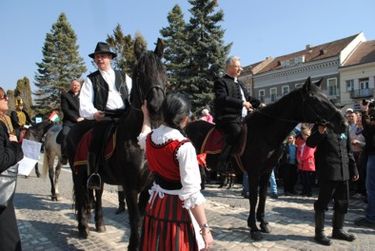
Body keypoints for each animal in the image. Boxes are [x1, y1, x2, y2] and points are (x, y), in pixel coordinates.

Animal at [68, 38, 167, 250]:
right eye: (139, 73)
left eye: (163, 71)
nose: (157, 105)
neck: (139, 138)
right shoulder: (130, 187)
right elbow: (135, 219)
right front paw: (133, 246)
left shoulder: (147, 186)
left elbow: (143, 218)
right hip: (77, 173)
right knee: (81, 197)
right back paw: (83, 227)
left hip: (97, 176)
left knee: (96, 195)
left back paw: (100, 224)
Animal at [187, 77, 348, 241]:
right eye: (316, 100)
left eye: (327, 97)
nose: (344, 123)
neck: (265, 132)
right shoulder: (253, 172)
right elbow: (254, 197)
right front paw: (253, 227)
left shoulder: (267, 171)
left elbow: (263, 196)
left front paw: (263, 223)